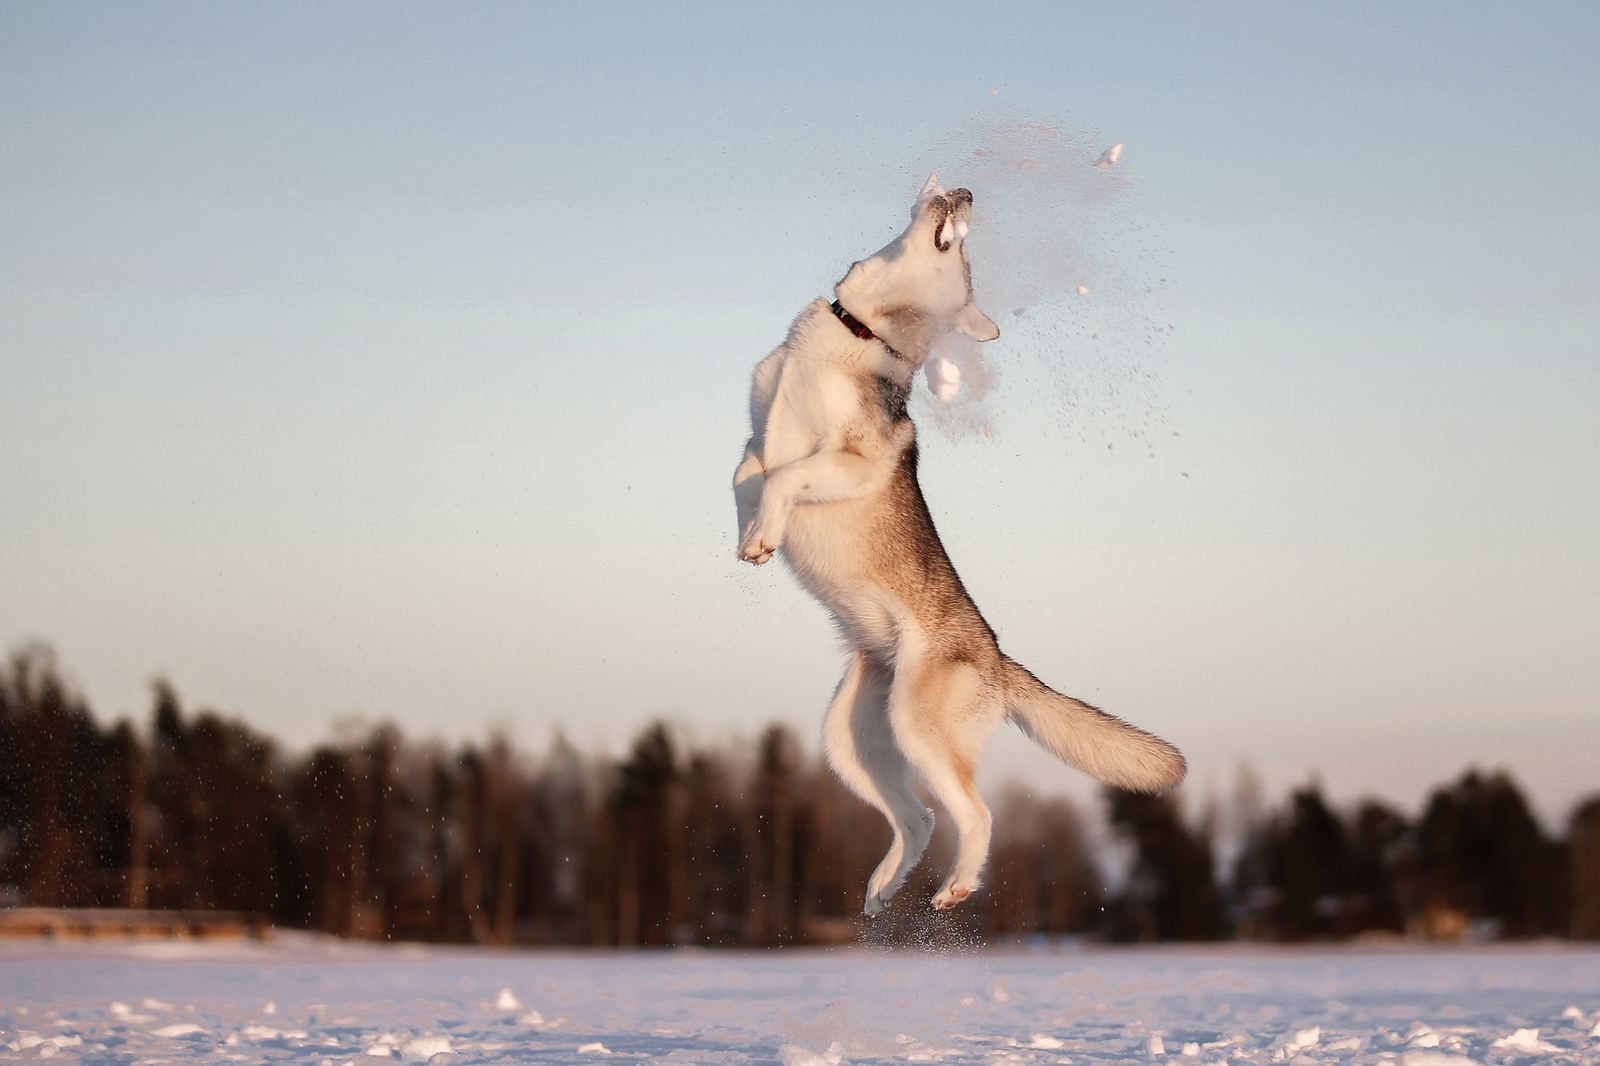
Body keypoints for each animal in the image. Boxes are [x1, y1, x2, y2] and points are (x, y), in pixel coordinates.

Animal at [732, 178, 1184, 909]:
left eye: (967, 254)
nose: (967, 190)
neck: (855, 329)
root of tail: (998, 662)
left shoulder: (855, 458)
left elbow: (785, 475)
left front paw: (765, 531)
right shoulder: (754, 434)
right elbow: (747, 475)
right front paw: (753, 534)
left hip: (920, 730)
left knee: (977, 814)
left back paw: (958, 885)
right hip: (853, 742)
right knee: (918, 817)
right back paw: (883, 890)